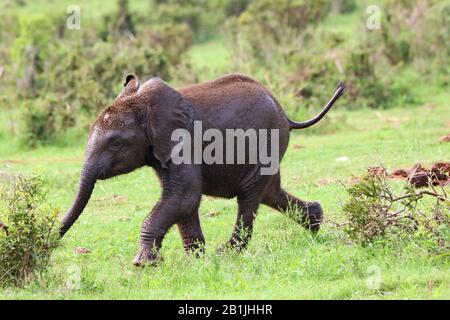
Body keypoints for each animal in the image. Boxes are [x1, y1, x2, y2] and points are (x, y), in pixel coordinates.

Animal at [58, 74, 342, 266]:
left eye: (116, 143)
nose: (54, 241)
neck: (144, 103)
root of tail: (286, 114)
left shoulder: (184, 143)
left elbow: (184, 196)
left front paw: (142, 263)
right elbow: (184, 202)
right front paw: (196, 260)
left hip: (268, 141)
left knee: (249, 196)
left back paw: (227, 252)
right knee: (269, 192)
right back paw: (315, 223)